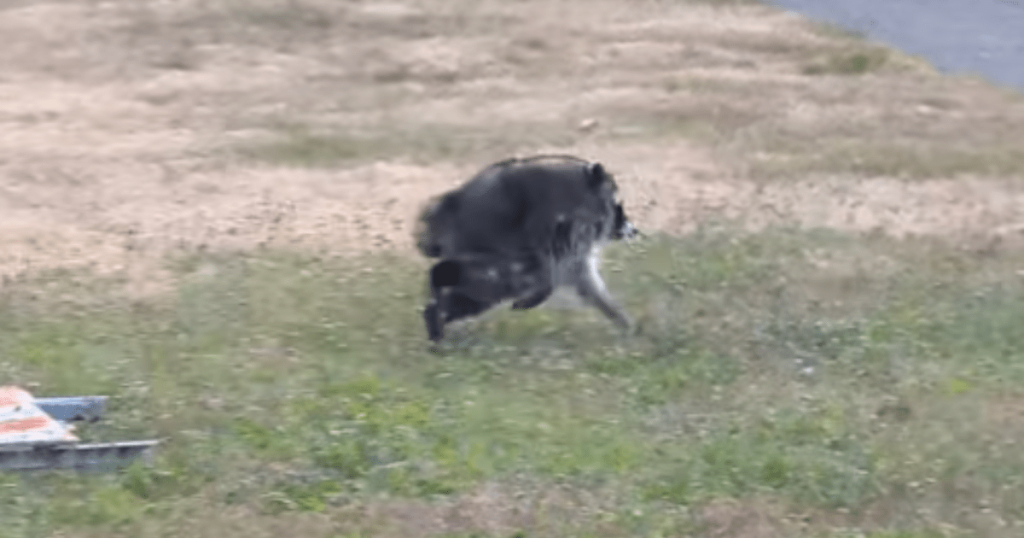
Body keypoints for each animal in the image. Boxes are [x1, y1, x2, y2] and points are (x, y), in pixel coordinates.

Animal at [415, 155, 641, 343]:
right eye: (618, 207)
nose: (634, 230)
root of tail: (448, 206)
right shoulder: (557, 224)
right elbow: (557, 270)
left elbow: (580, 277)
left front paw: (619, 317)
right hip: (484, 242)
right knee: (486, 282)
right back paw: (436, 308)